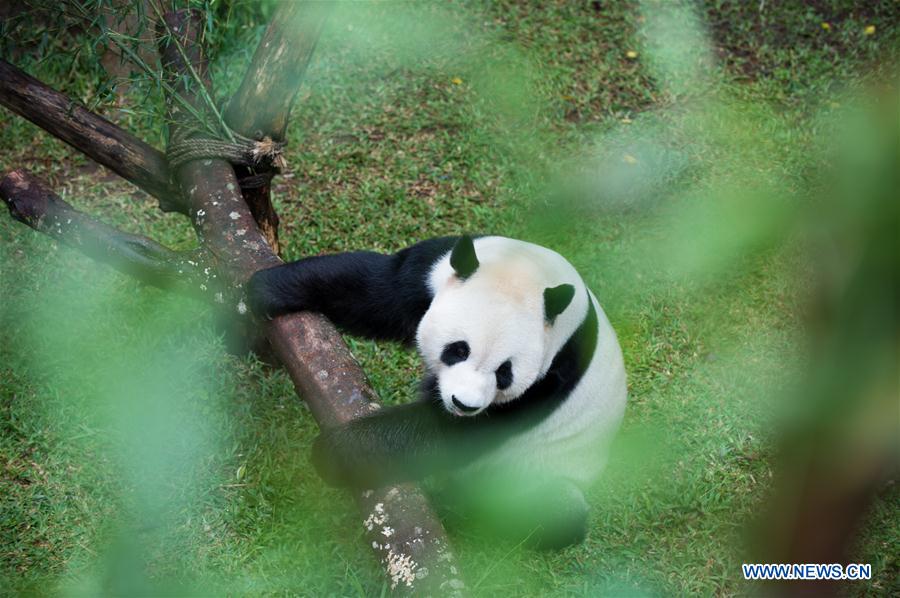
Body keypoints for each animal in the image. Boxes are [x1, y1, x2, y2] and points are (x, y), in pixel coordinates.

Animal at [246, 237, 624, 552]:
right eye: (458, 349)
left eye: (505, 372)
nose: (464, 405)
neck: (527, 271)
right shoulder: (431, 270)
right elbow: (376, 290)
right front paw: (264, 289)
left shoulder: (551, 376)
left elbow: (450, 434)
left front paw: (333, 453)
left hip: (540, 472)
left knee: (551, 511)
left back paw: (453, 507)